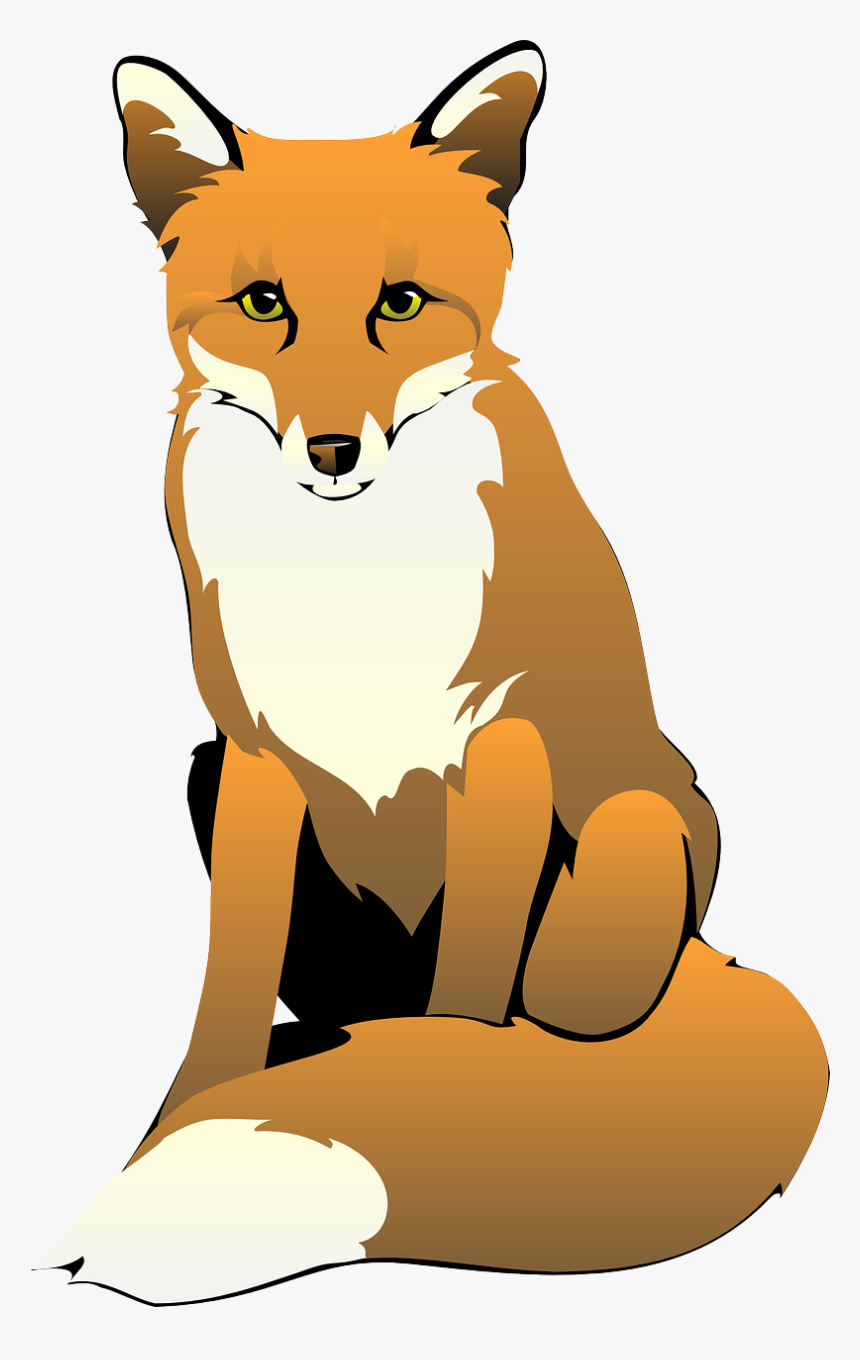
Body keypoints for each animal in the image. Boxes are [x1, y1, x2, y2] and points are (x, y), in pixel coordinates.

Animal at [37, 42, 827, 1305]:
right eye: (263, 305)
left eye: (399, 304)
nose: (330, 451)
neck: (354, 586)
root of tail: (718, 956)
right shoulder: (248, 754)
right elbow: (224, 997)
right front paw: (175, 1121)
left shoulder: (498, 751)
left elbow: (464, 1008)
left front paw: (452, 1104)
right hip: (204, 778)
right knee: (347, 1019)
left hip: (628, 853)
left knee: (519, 1002)